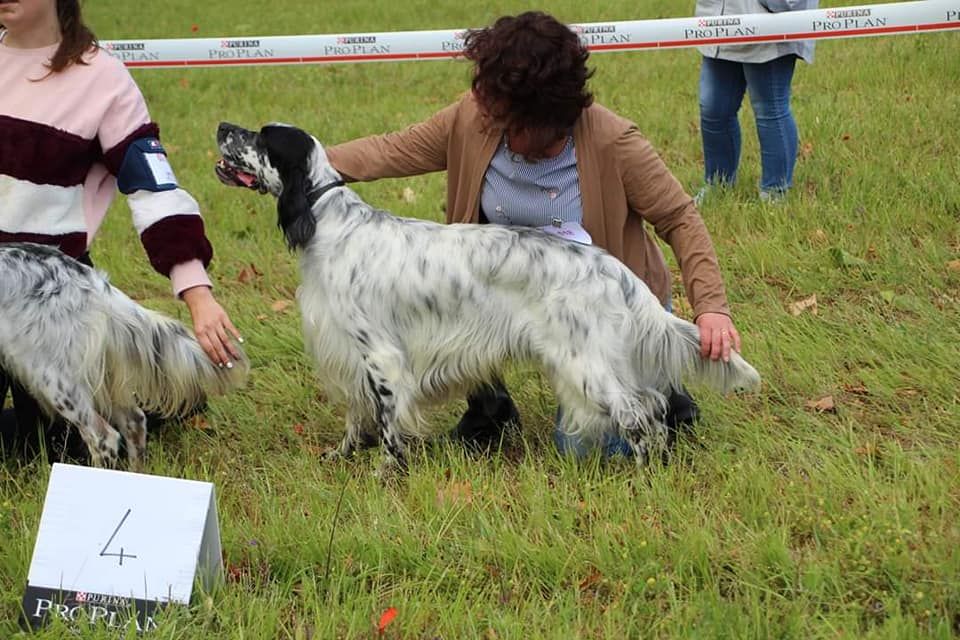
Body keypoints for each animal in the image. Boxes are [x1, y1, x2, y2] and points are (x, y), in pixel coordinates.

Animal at [214, 122, 760, 472]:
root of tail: (612, 267)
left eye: (260, 137)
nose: (221, 125)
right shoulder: (347, 354)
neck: (329, 221)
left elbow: (388, 425)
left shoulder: (381, 356)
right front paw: (342, 455)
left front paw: (386, 472)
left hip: (584, 363)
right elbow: (356, 414)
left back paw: (648, 472)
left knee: (640, 412)